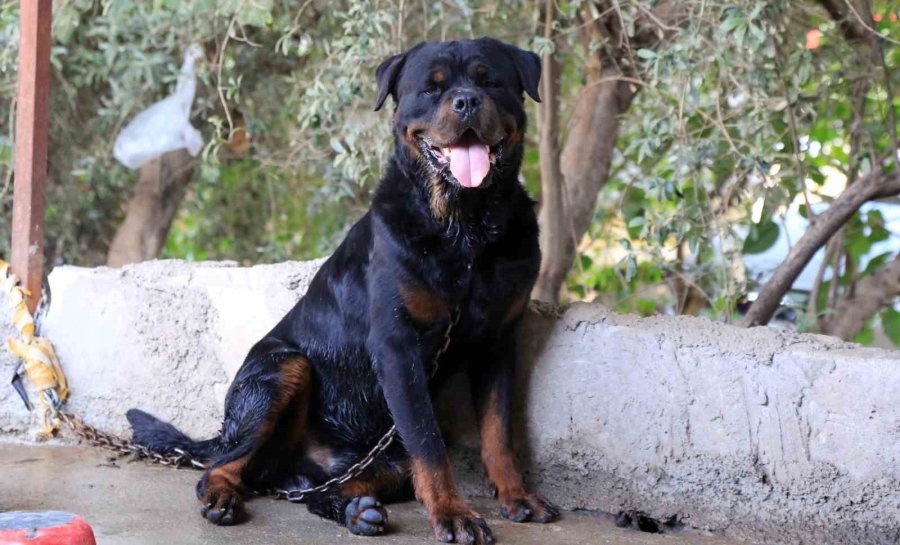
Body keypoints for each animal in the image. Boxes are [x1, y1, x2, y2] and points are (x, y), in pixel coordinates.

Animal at [126, 36, 556, 540]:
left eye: (490, 82)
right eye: (432, 89)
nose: (467, 100)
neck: (464, 231)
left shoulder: (497, 342)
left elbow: (498, 431)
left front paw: (516, 495)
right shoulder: (397, 346)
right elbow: (430, 444)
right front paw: (454, 512)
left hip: (385, 459)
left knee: (324, 492)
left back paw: (356, 510)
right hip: (282, 368)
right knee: (224, 464)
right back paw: (222, 497)